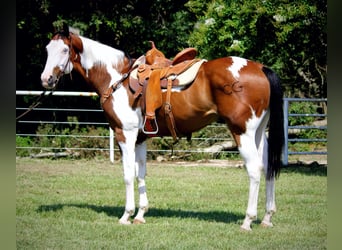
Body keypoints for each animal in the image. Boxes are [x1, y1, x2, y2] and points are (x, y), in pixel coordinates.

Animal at [41, 25, 284, 230]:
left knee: (254, 169)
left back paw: (248, 220)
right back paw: (267, 218)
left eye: (64, 50)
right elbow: (141, 174)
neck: (117, 79)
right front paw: (140, 215)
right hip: (259, 133)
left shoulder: (125, 134)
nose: (46, 79)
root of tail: (261, 68)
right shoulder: (140, 138)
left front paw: (126, 215)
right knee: (268, 167)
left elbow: (128, 175)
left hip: (242, 132)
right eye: (47, 49)